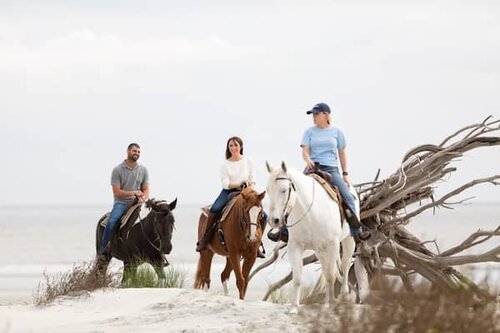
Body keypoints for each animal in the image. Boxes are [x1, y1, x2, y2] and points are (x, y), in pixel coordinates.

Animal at [266, 161, 364, 312]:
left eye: (284, 190)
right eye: (267, 190)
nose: (274, 221)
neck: (310, 211)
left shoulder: (333, 244)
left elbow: (331, 275)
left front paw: (332, 305)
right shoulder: (295, 246)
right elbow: (297, 278)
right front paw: (294, 307)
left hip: (348, 241)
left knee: (345, 265)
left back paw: (343, 297)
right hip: (319, 250)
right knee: (325, 268)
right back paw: (326, 301)